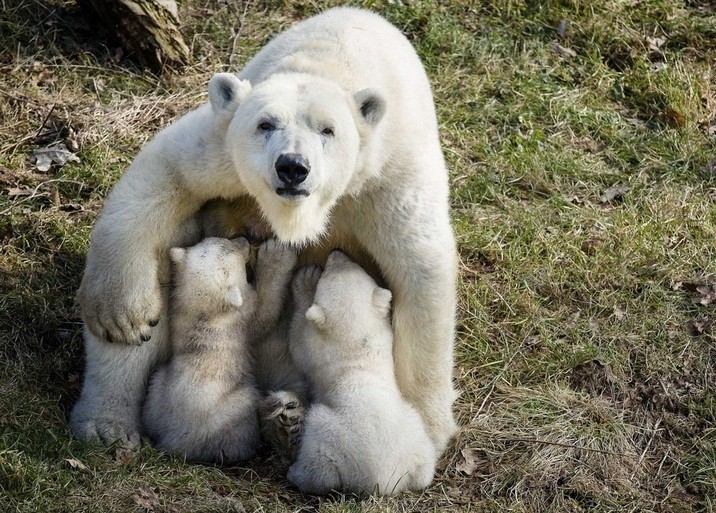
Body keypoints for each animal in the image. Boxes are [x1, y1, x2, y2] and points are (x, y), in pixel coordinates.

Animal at [140, 238, 296, 462]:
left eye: (222, 241)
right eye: (234, 251)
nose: (245, 240)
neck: (207, 313)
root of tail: (176, 442)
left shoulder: (178, 314)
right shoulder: (242, 320)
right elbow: (265, 315)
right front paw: (278, 254)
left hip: (157, 392)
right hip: (234, 410)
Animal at [286, 250, 436, 494]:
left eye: (328, 271)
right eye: (355, 265)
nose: (336, 252)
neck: (355, 343)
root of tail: (383, 479)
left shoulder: (317, 352)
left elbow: (298, 345)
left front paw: (306, 280)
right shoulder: (384, 335)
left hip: (329, 435)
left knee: (319, 467)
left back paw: (296, 473)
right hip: (414, 431)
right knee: (424, 468)